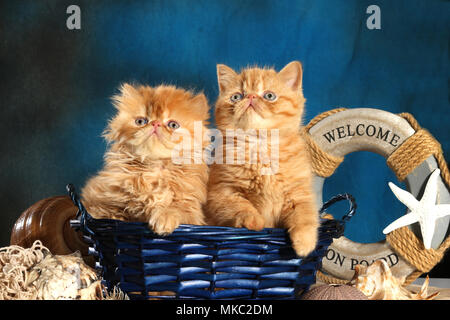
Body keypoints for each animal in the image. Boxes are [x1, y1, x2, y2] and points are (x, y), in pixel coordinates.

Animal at [81, 84, 211, 235]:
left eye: (173, 125)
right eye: (141, 121)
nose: (155, 123)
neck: (154, 168)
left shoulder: (192, 211)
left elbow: (176, 208)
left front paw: (164, 218)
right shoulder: (103, 201)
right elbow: (111, 214)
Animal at [206, 61, 318, 256]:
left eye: (269, 96)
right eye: (236, 97)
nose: (250, 97)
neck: (260, 146)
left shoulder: (299, 192)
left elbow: (305, 214)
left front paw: (305, 243)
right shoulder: (220, 192)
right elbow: (240, 205)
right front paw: (254, 221)